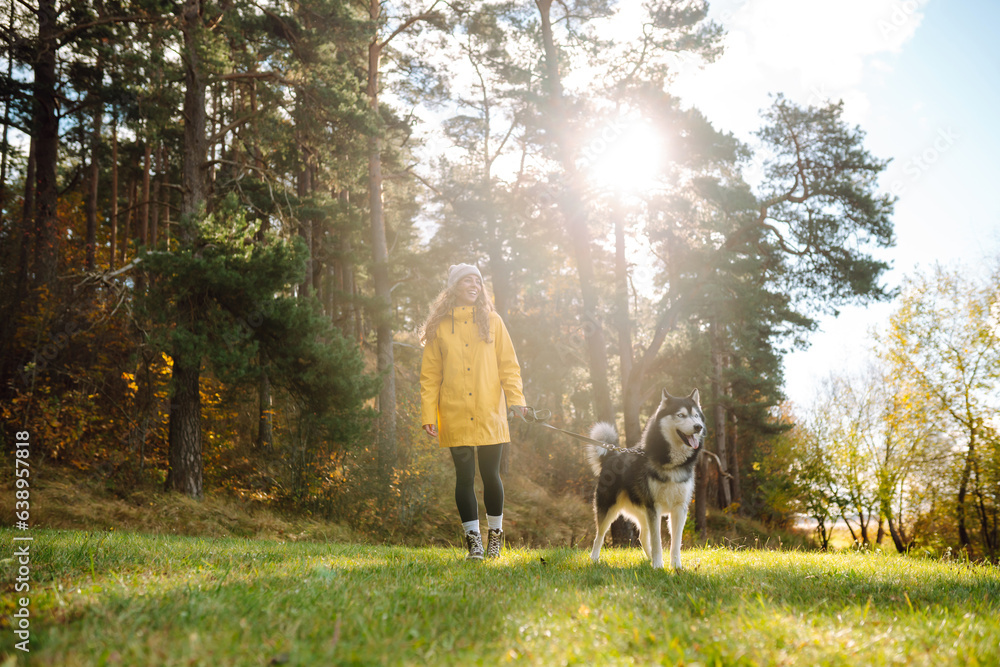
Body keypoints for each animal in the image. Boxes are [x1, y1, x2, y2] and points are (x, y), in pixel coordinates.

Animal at [584, 392, 704, 568]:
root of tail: (611, 455)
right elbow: (657, 540)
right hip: (609, 509)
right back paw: (594, 558)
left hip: (642, 511)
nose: (698, 427)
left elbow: (676, 542)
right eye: (681, 415)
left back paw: (649, 559)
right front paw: (658, 566)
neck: (671, 464)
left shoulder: (679, 509)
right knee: (599, 535)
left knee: (641, 536)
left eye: (696, 415)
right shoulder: (654, 508)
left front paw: (676, 566)